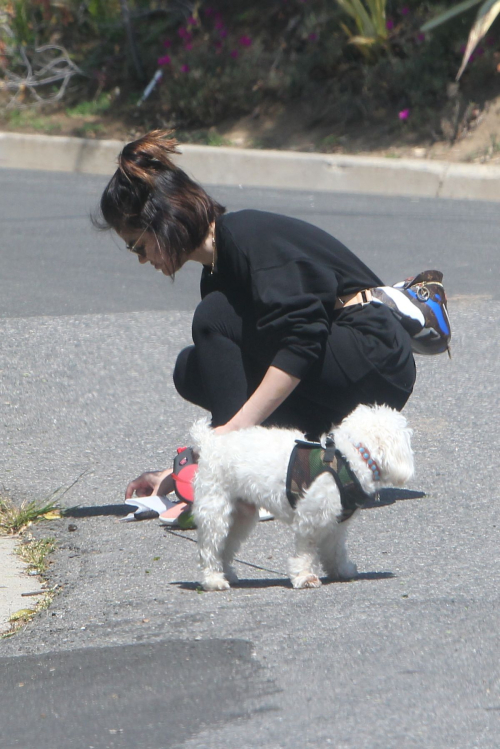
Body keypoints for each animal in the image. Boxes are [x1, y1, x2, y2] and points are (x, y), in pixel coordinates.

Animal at [189, 404, 412, 592]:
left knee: (226, 547)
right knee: (210, 548)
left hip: (241, 515)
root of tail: (209, 442)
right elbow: (307, 550)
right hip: (215, 510)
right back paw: (213, 579)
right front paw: (305, 576)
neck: (350, 458)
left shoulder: (336, 523)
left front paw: (341, 569)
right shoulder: (311, 519)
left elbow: (336, 549)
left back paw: (226, 573)